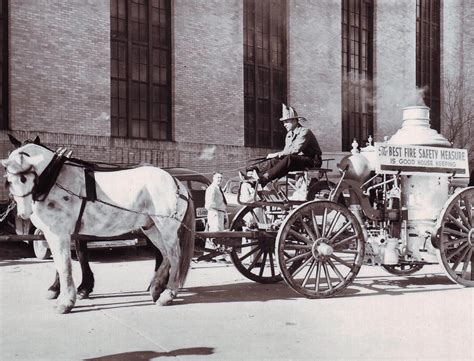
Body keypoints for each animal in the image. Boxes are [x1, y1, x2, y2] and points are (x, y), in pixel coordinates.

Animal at [1, 141, 194, 312]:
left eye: (26, 178)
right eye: (9, 181)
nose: (24, 213)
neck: (54, 178)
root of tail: (177, 183)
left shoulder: (59, 233)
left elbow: (64, 265)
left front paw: (66, 302)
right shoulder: (55, 234)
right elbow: (61, 262)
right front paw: (63, 291)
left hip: (167, 228)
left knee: (175, 256)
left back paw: (168, 294)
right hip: (152, 228)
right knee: (166, 255)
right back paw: (155, 288)